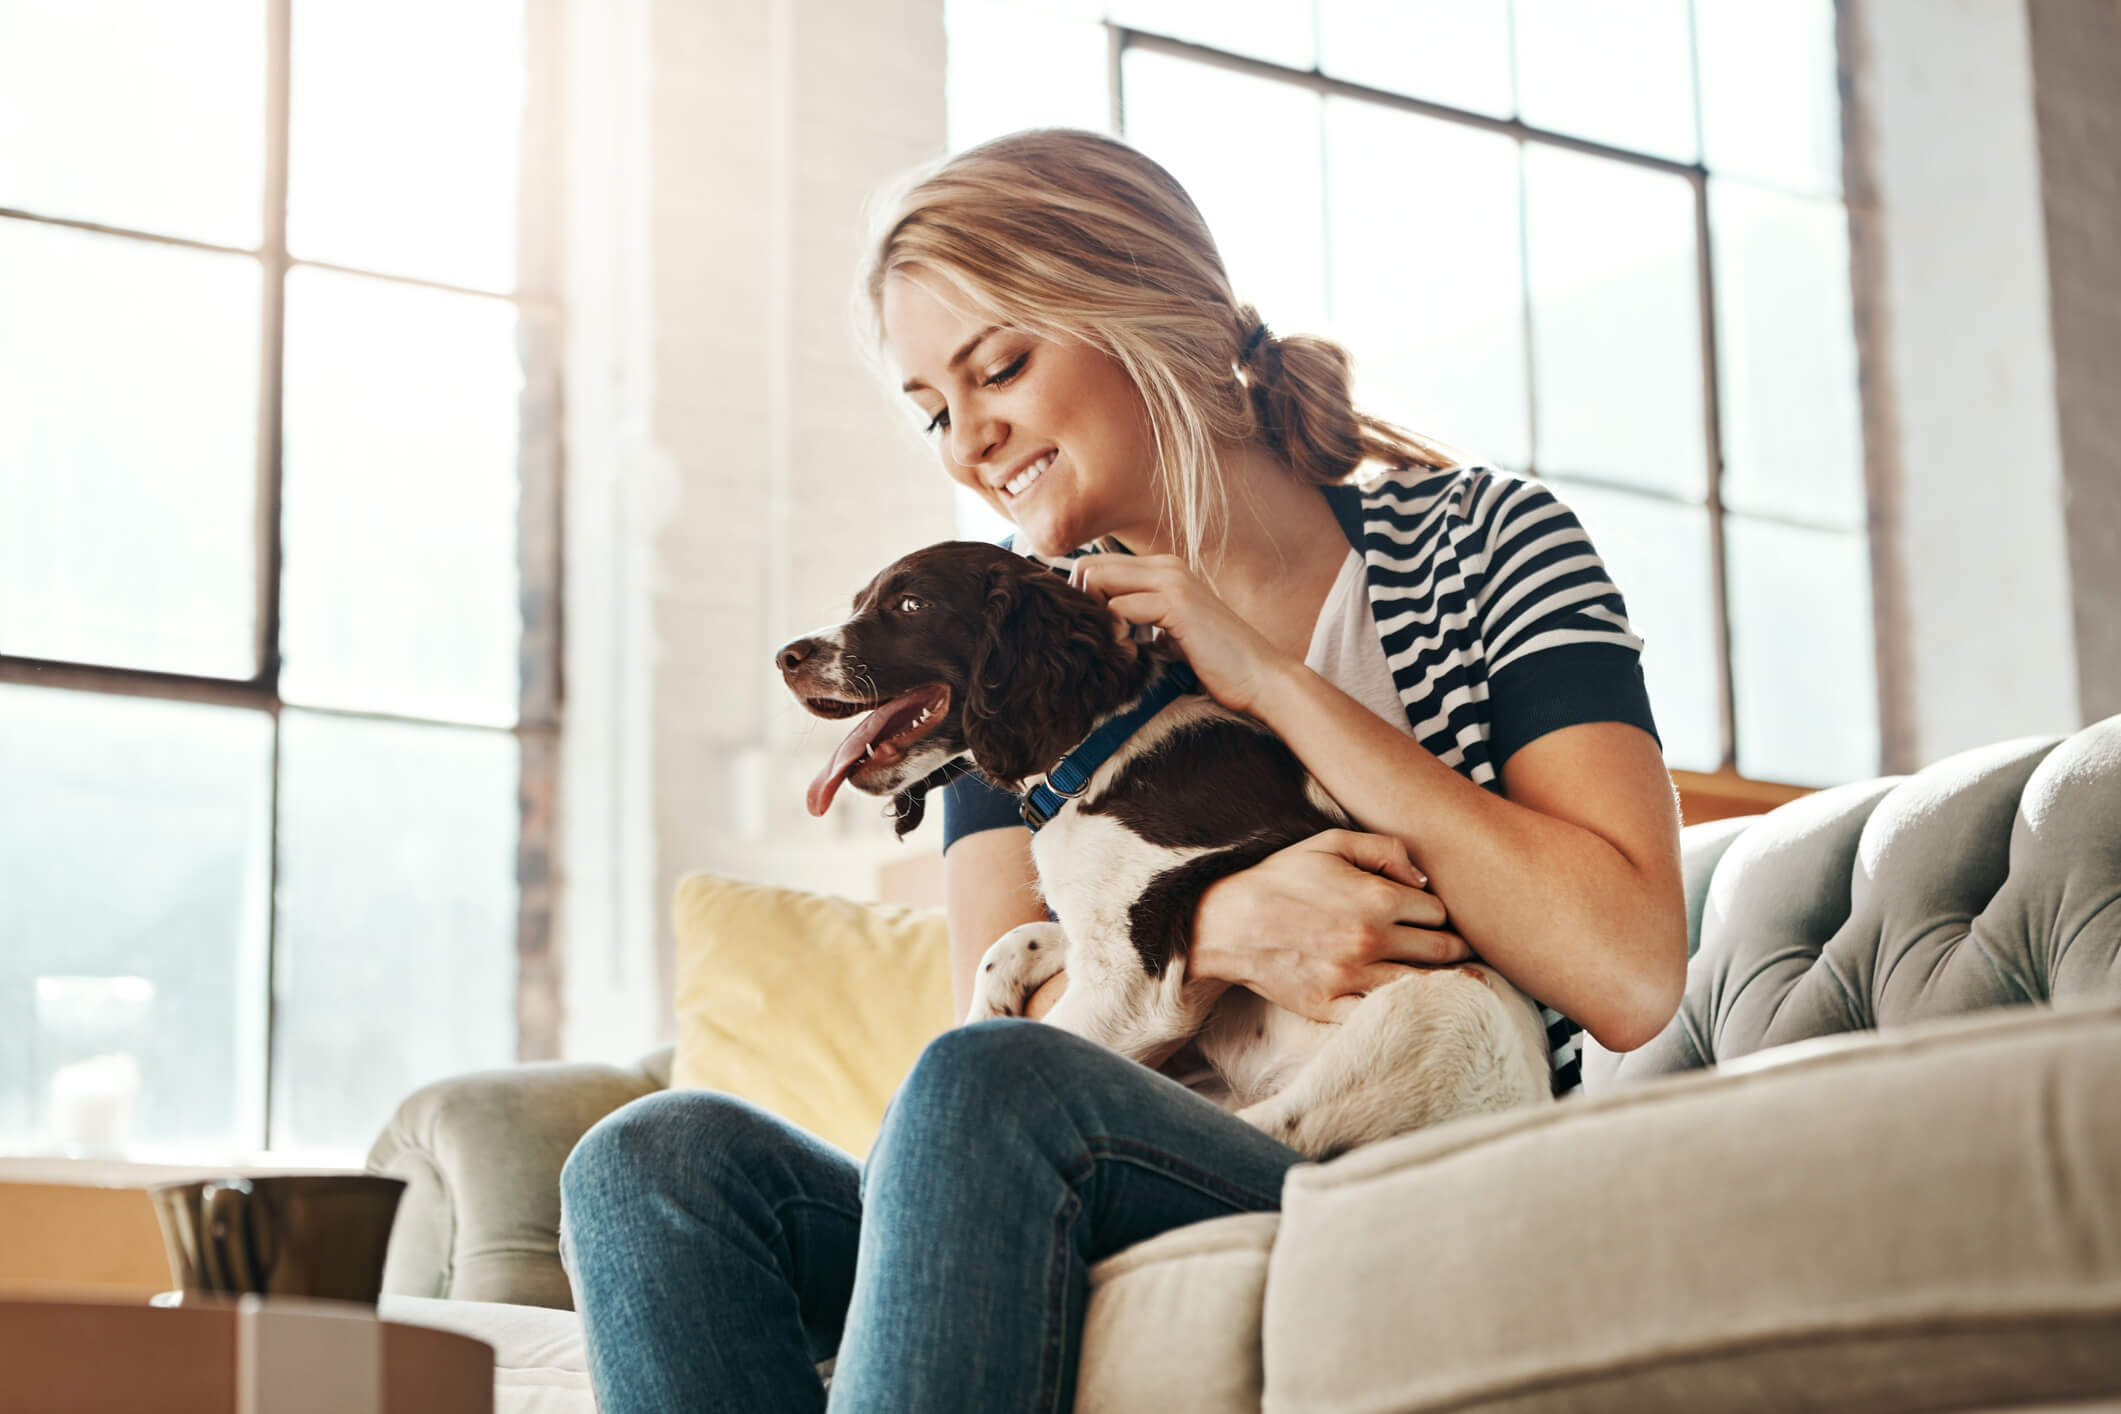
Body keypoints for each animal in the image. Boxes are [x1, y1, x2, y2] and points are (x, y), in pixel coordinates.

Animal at [772, 542, 1552, 1161]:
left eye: (910, 604)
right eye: (861, 602)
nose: (785, 656)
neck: (1097, 751)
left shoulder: (1132, 990)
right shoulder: (1104, 928)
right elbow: (1015, 939)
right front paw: (987, 1005)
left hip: (1427, 1017)